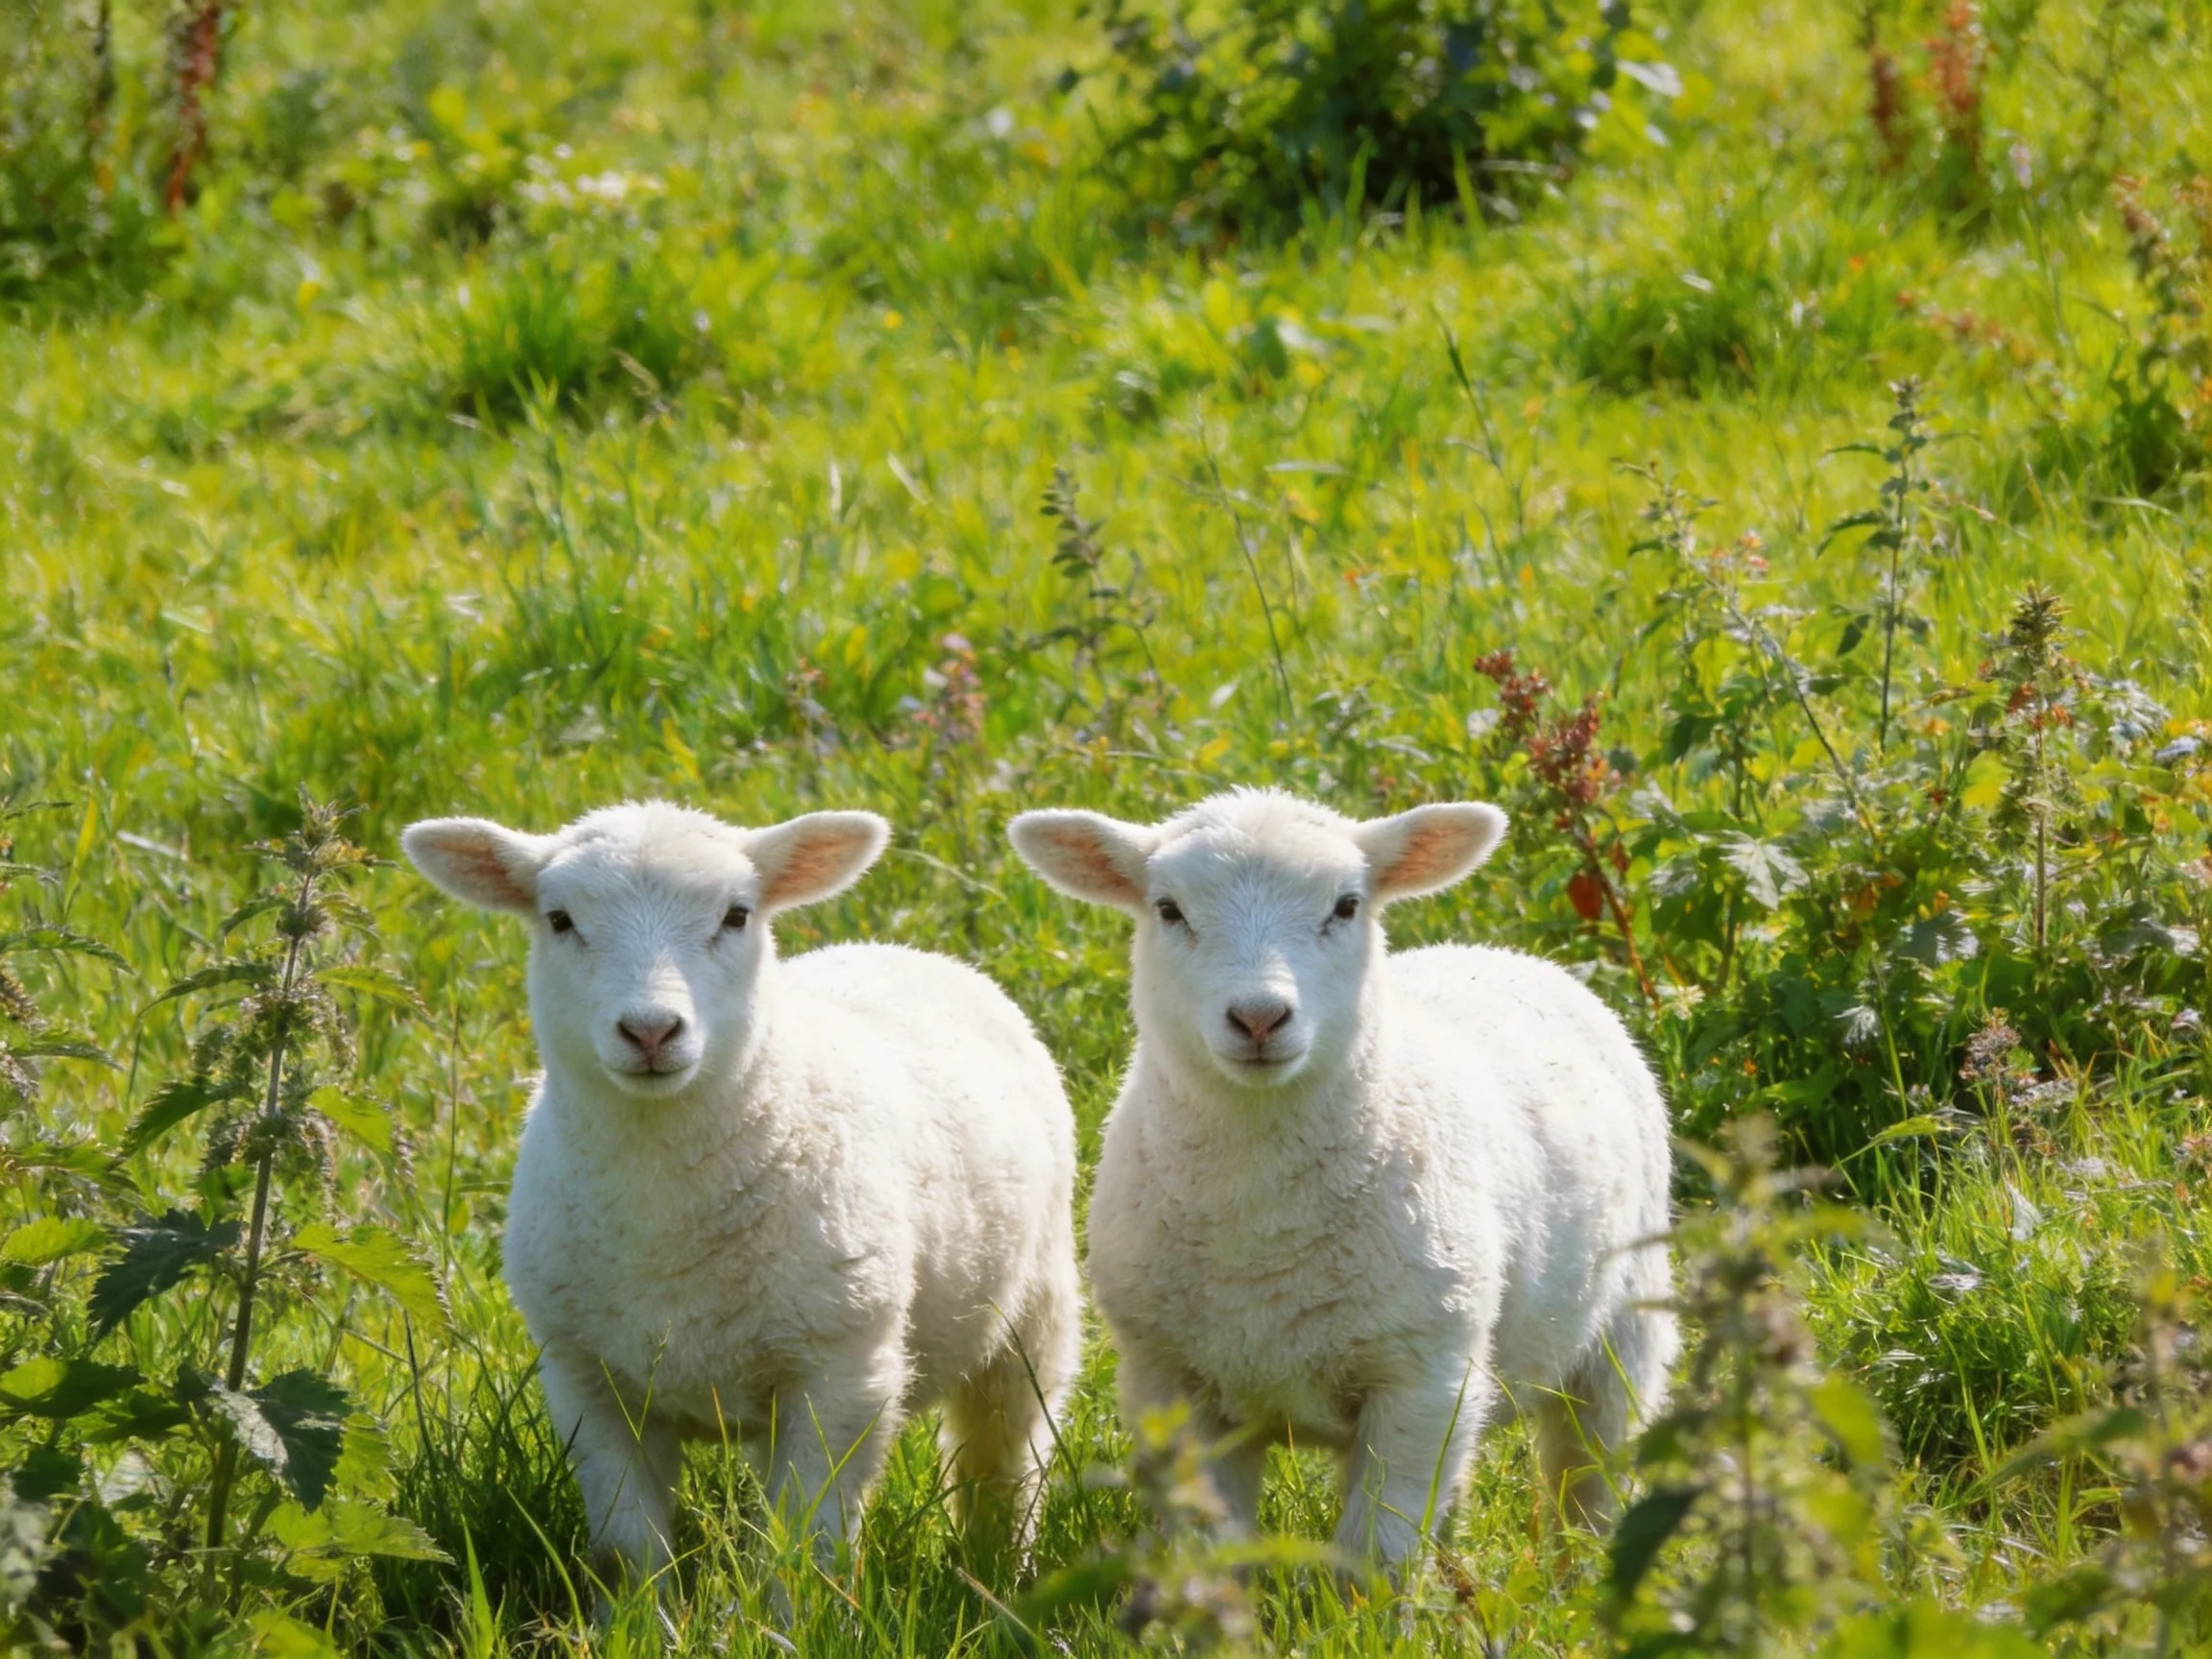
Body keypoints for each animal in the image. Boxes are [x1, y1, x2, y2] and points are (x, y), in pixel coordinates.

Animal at [402, 801, 1081, 1591]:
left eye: (736, 915)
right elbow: (629, 1550)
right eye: (560, 919)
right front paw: (644, 1618)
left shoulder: (841, 1373)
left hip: (1033, 1308)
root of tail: (909, 952)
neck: (663, 1216)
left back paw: (1000, 1571)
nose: (650, 1030)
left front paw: (794, 1616)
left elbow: (807, 1545)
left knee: (1005, 1455)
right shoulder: (586, 1382)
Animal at [1007, 788, 1676, 1568]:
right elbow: (1212, 1550)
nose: (1259, 1018)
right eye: (1169, 909)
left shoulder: (1422, 1379)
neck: (1261, 1229)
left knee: (1591, 1473)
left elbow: (1374, 1560)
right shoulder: (1171, 1382)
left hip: (1624, 1328)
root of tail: (1503, 955)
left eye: (1347, 905)